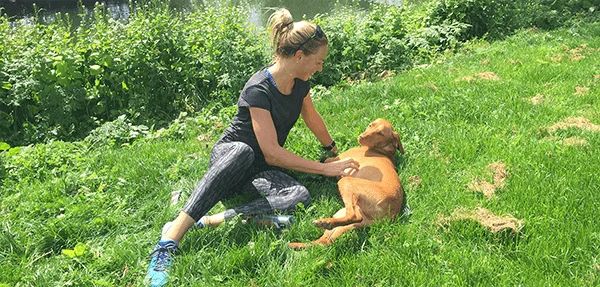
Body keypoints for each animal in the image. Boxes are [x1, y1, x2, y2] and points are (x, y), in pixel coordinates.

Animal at [290, 118, 406, 249]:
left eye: (380, 133)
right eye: (370, 125)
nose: (361, 137)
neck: (382, 150)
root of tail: (392, 212)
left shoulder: (334, 161)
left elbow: (318, 163)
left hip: (346, 183)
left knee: (353, 216)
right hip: (345, 214)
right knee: (324, 241)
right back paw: (295, 244)